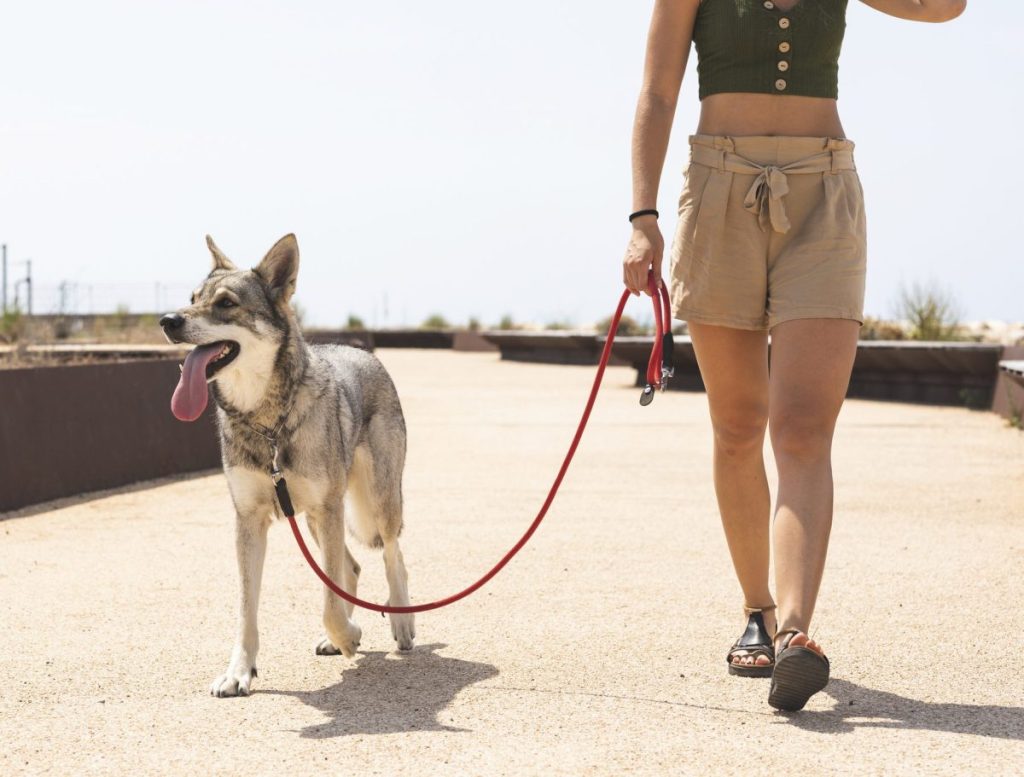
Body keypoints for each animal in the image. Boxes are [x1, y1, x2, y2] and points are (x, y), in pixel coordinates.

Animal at [158, 232, 411, 700]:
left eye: (225, 303)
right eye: (192, 298)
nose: (167, 320)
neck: (267, 422)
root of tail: (363, 352)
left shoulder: (328, 509)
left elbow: (329, 599)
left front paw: (349, 634)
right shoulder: (249, 519)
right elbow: (247, 610)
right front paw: (239, 672)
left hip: (374, 503)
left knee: (392, 555)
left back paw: (401, 621)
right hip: (313, 520)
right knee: (351, 567)